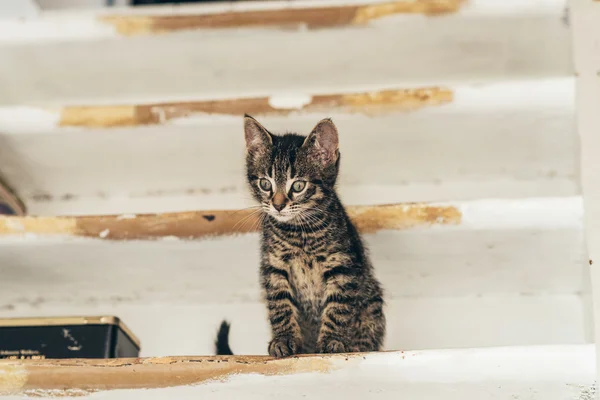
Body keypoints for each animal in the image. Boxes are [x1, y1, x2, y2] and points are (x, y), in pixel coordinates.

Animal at [216, 115, 384, 356]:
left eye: (298, 186)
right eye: (265, 184)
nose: (277, 205)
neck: (299, 231)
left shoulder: (343, 266)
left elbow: (338, 306)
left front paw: (332, 340)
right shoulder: (274, 267)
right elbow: (280, 306)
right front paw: (283, 339)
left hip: (372, 303)